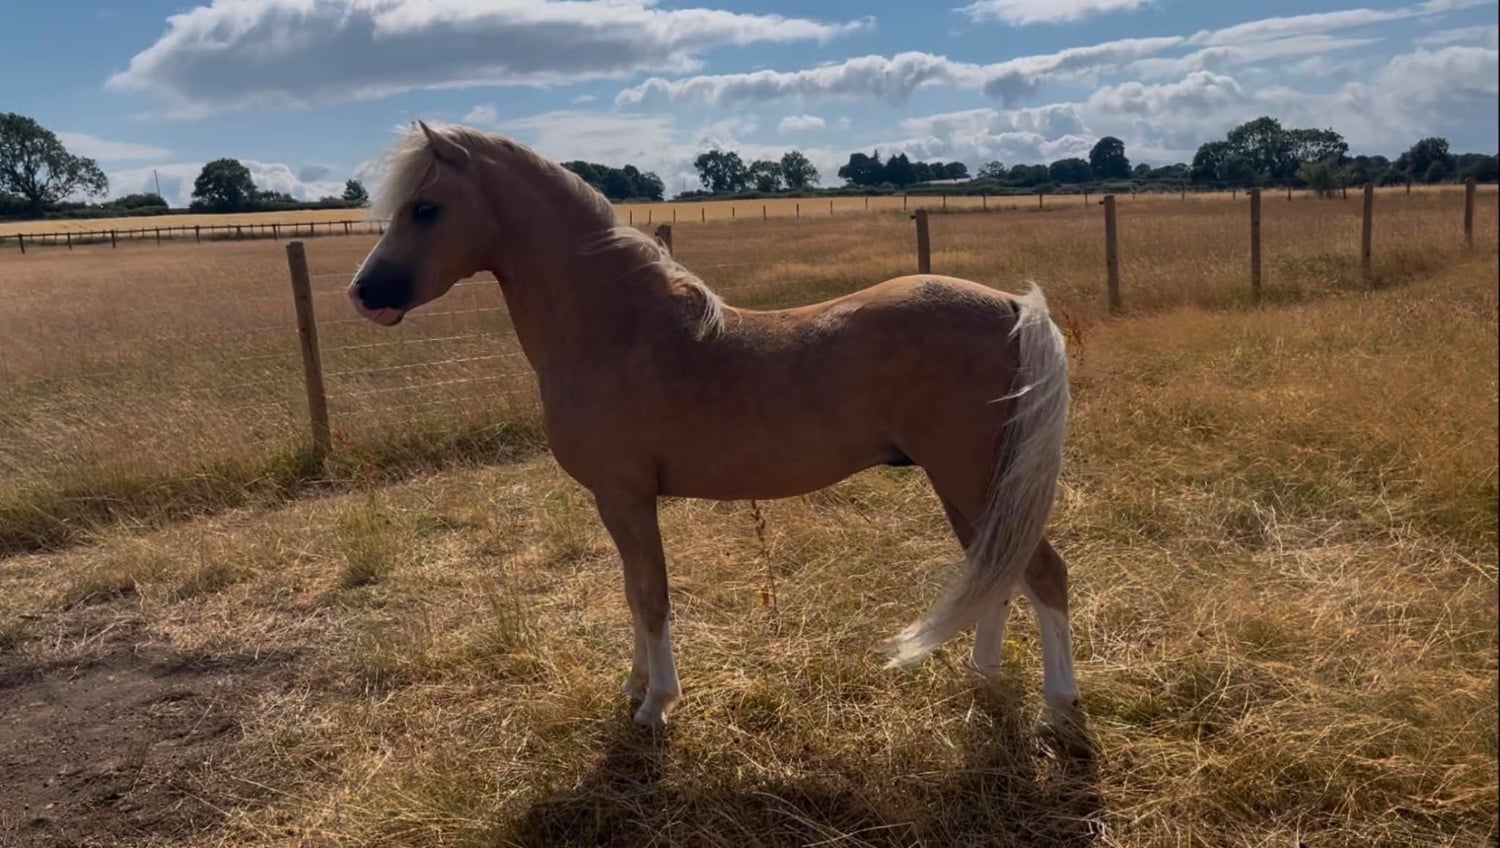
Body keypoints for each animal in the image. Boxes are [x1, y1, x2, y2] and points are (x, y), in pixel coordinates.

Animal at [346, 121, 1079, 732]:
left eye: (425, 207)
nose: (363, 294)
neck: (614, 327)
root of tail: (1011, 306)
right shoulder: (619, 503)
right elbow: (633, 593)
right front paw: (634, 685)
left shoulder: (625, 496)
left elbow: (650, 596)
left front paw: (656, 705)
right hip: (972, 487)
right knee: (997, 570)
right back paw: (984, 675)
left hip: (972, 479)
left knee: (1043, 574)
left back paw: (1058, 710)